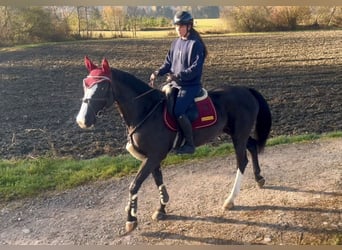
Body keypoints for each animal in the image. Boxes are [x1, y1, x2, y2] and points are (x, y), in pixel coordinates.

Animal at [76, 56, 272, 232]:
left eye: (102, 86)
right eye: (85, 83)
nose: (82, 121)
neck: (146, 110)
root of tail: (246, 90)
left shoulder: (154, 156)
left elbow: (135, 185)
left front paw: (131, 219)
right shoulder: (151, 157)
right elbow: (158, 180)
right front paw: (161, 208)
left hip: (239, 135)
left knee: (242, 161)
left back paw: (231, 199)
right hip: (237, 133)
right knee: (252, 147)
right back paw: (259, 179)